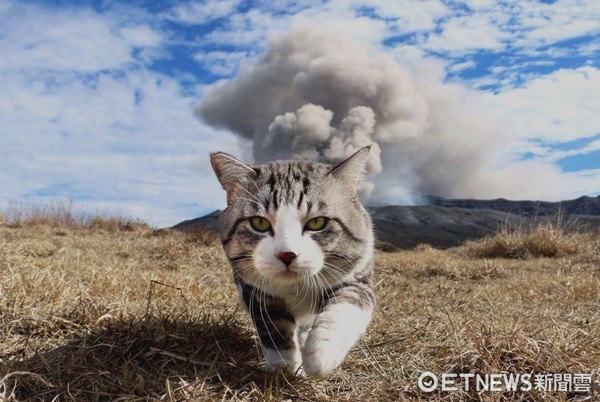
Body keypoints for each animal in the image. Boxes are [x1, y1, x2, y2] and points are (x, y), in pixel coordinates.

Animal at [211, 147, 376, 376]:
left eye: (317, 222)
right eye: (259, 222)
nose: (287, 254)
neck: (297, 287)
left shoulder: (357, 277)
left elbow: (345, 306)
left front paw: (319, 355)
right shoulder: (255, 291)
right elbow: (273, 326)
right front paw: (284, 365)